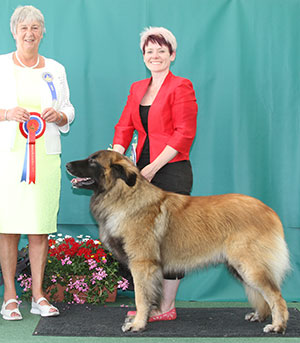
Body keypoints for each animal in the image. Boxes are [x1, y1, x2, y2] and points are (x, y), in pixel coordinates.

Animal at [66, 150, 290, 334]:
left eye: (93, 161)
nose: (67, 164)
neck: (124, 196)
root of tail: (269, 211)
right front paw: (145, 317)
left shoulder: (142, 263)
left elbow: (140, 297)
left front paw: (137, 324)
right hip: (240, 266)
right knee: (263, 294)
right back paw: (260, 316)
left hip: (250, 265)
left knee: (275, 295)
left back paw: (277, 326)